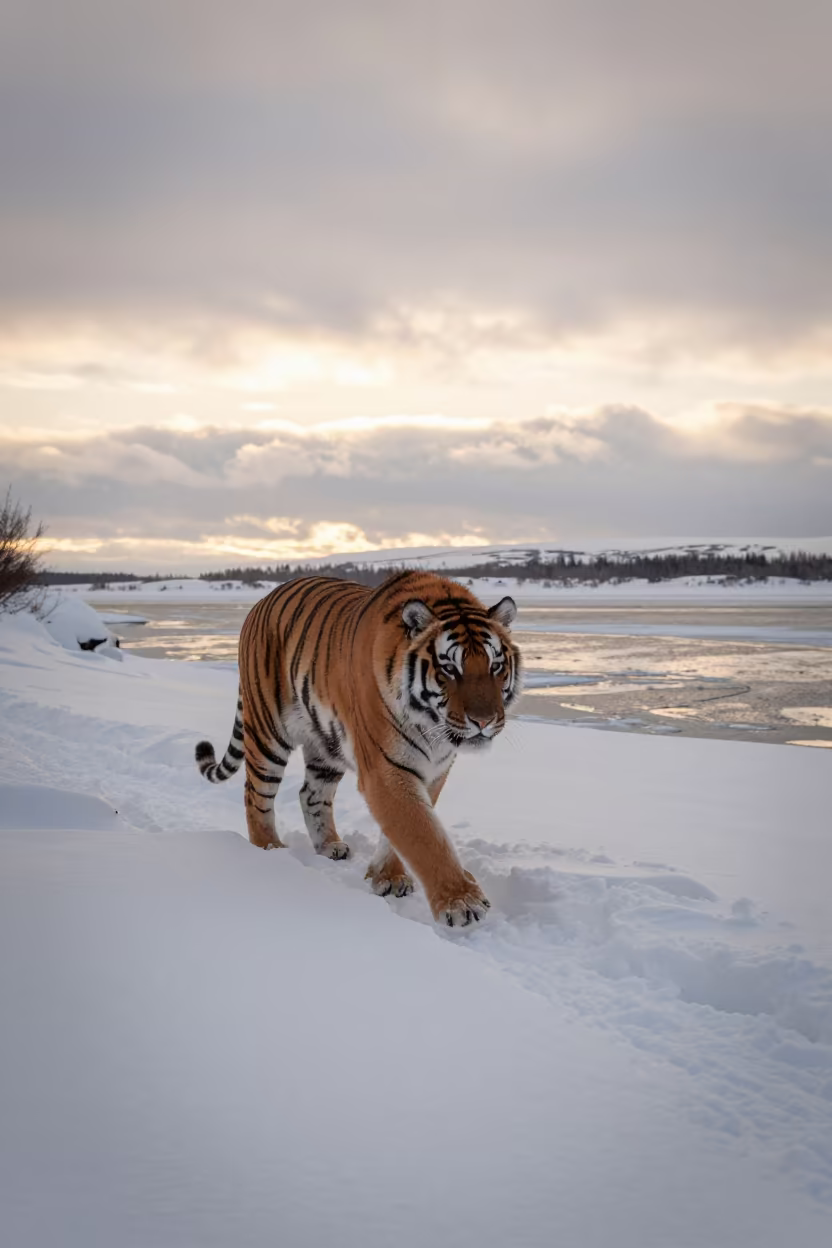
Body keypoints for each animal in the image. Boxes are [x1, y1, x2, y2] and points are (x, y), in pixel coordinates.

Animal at [195, 570, 521, 927]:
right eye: (449, 668)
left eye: (495, 666)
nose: (484, 721)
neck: (432, 728)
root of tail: (260, 603)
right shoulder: (385, 769)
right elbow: (423, 834)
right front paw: (461, 902)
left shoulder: (434, 769)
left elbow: (403, 832)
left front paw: (387, 878)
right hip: (268, 733)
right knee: (255, 796)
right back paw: (270, 851)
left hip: (325, 745)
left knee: (310, 794)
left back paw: (329, 846)